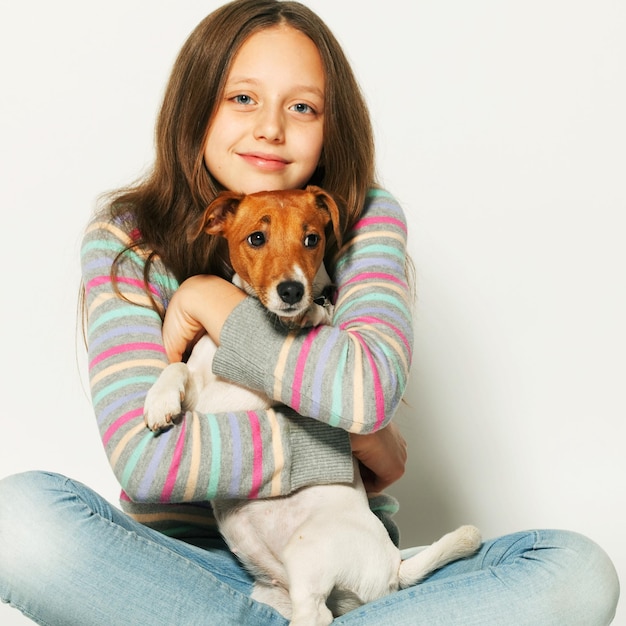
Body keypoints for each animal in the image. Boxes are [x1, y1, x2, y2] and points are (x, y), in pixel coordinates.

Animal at [145, 185, 478, 624]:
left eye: (312, 239)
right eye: (256, 238)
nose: (292, 291)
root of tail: (394, 565)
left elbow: (317, 323)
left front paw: (310, 314)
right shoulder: (200, 383)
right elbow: (177, 369)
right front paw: (159, 401)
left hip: (309, 551)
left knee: (317, 615)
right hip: (274, 589)